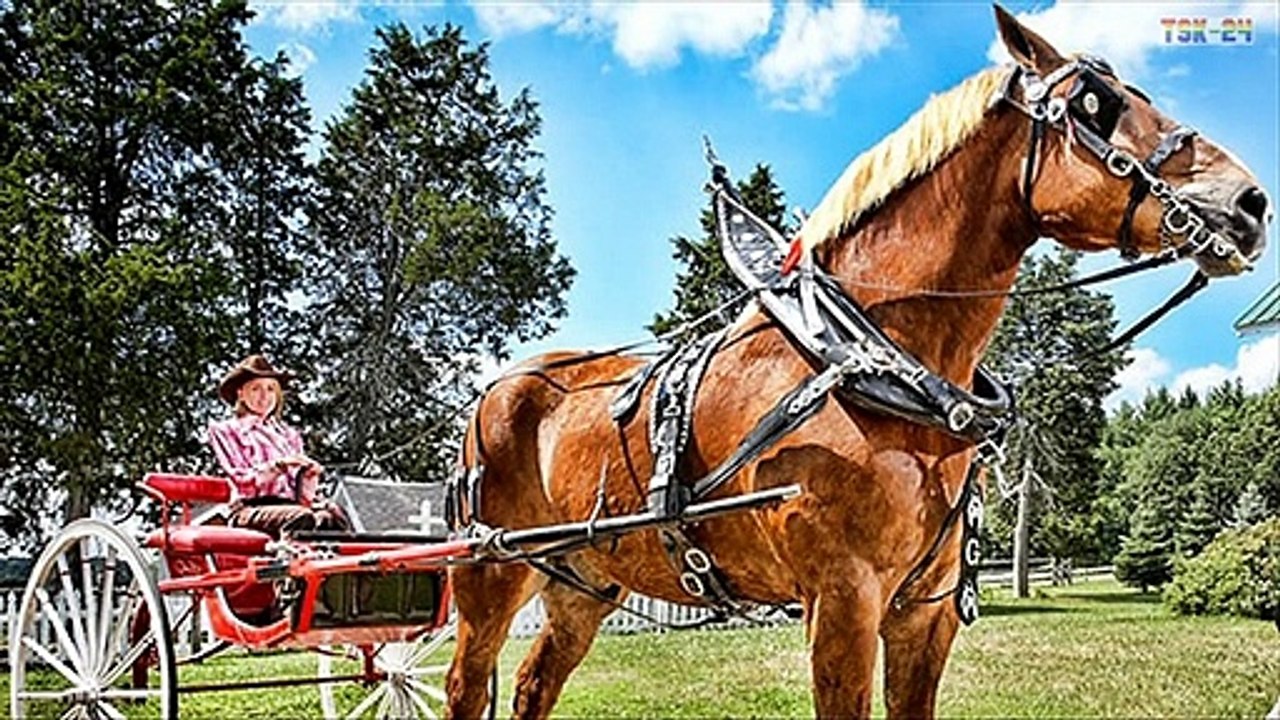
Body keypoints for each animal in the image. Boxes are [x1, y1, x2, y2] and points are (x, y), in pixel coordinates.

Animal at [444, 8, 1270, 719]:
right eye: (1095, 106)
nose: (1251, 203)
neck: (876, 363)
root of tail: (497, 388)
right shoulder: (843, 600)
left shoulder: (926, 612)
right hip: (489, 571)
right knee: (465, 683)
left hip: (585, 579)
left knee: (534, 684)